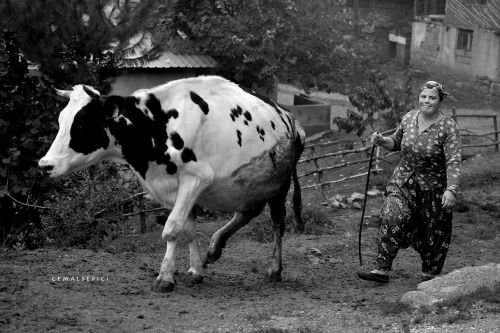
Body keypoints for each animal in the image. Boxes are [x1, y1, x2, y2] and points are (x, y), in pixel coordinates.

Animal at [40, 75, 304, 290]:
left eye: (82, 123)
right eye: (61, 120)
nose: (45, 165)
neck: (156, 126)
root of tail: (288, 116)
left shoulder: (196, 179)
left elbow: (172, 227)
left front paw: (165, 276)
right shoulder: (170, 187)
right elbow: (187, 228)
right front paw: (196, 269)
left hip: (279, 185)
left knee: (277, 223)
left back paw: (274, 269)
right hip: (250, 183)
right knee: (249, 211)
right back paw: (214, 247)